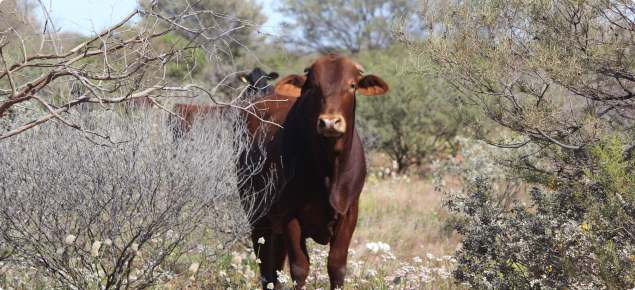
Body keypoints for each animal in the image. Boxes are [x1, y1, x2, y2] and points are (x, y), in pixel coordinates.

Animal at [238, 53, 388, 288]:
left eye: (352, 86)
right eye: (314, 86)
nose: (330, 122)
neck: (330, 168)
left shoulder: (350, 212)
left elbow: (337, 267)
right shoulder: (290, 213)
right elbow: (300, 268)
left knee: (276, 264)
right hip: (257, 214)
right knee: (265, 263)